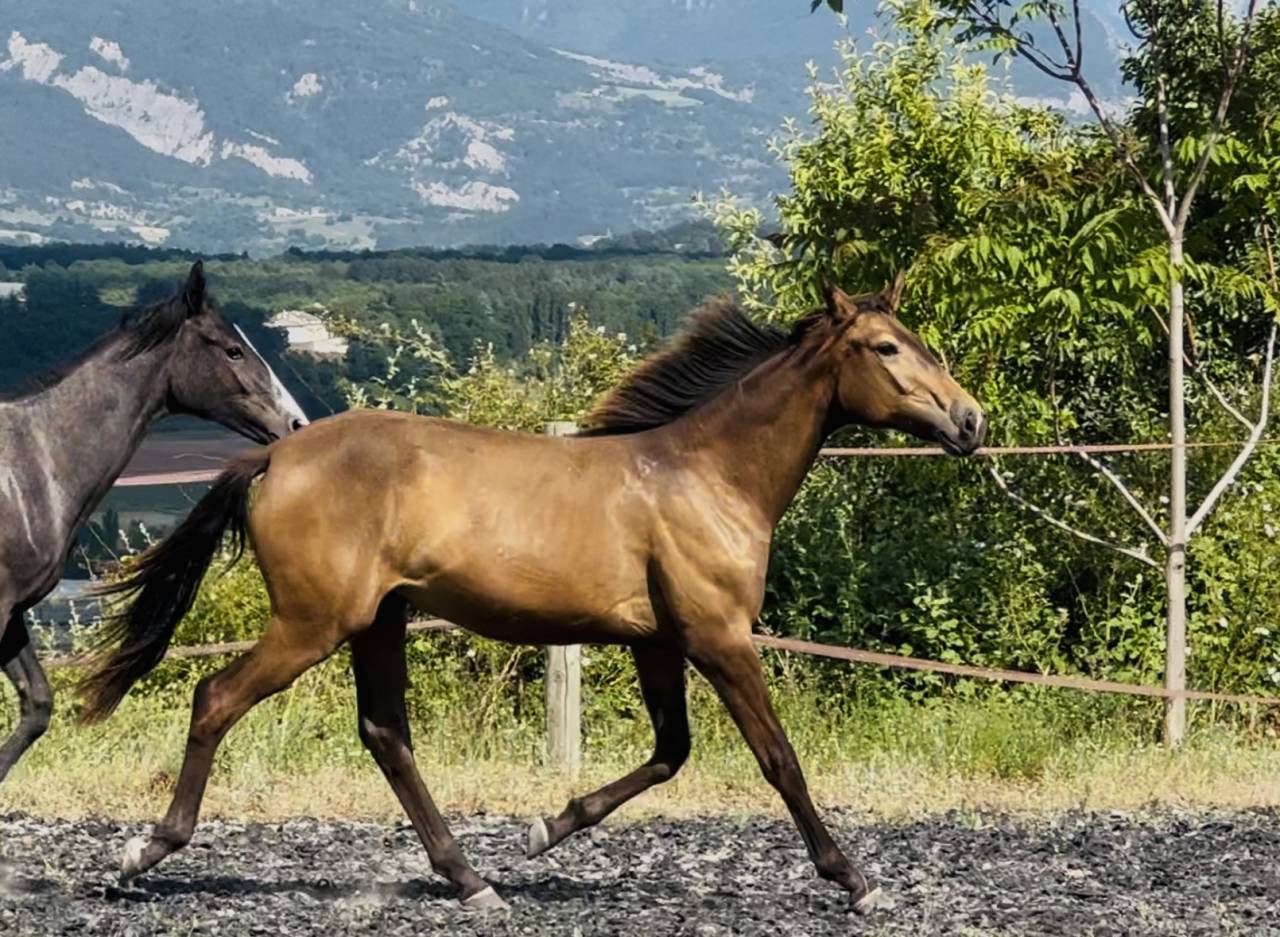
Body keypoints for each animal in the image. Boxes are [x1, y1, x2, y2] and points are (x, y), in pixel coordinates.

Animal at [79, 277, 985, 914]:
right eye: (885, 347)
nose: (970, 421)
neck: (707, 476)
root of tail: (273, 456)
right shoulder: (720, 636)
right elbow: (778, 758)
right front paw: (856, 877)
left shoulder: (657, 640)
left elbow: (671, 750)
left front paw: (545, 828)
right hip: (312, 621)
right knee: (216, 697)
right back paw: (141, 855)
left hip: (378, 619)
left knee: (385, 732)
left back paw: (471, 878)